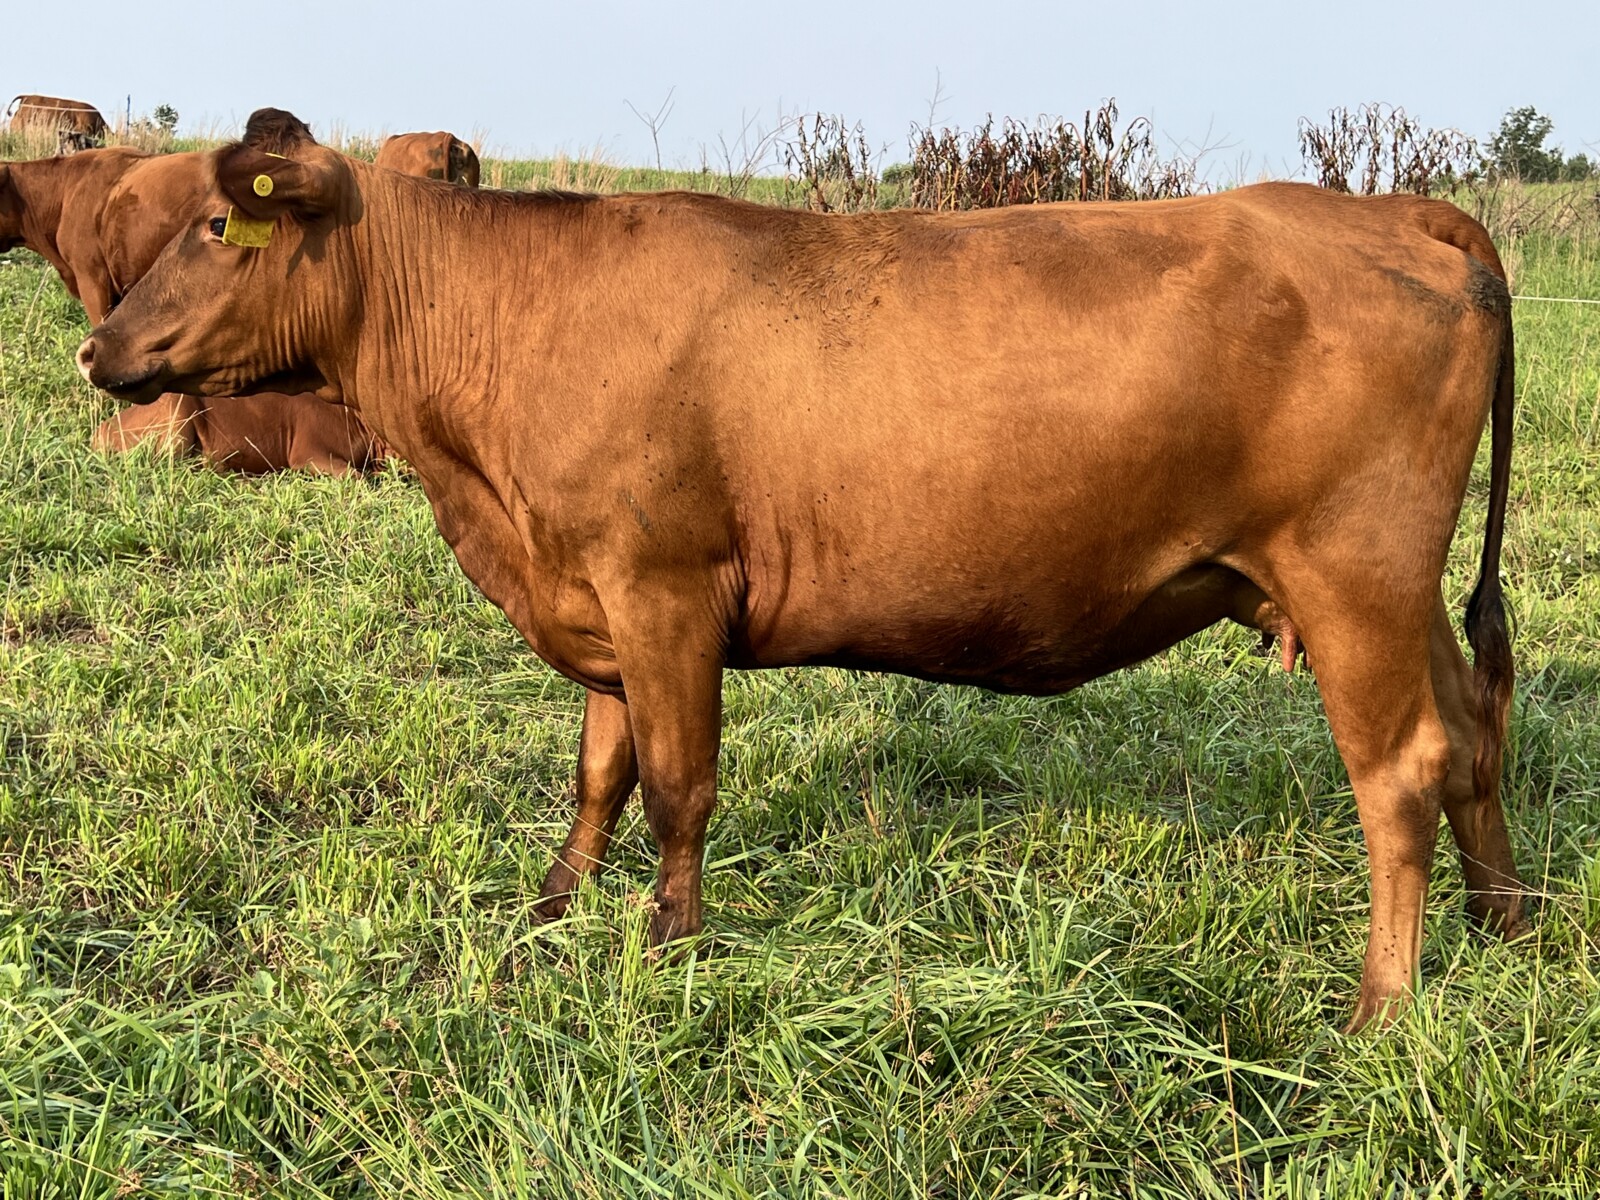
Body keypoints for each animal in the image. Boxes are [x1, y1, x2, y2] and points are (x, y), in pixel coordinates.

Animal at [75, 110, 1525, 1031]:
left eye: (217, 225)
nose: (99, 348)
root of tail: (1387, 210)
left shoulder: (662, 589)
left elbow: (676, 785)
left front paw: (667, 950)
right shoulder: (598, 594)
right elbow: (598, 774)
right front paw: (549, 916)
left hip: (1351, 575)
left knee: (1401, 769)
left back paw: (1382, 1008)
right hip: (1398, 593)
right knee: (1472, 728)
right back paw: (1505, 925)